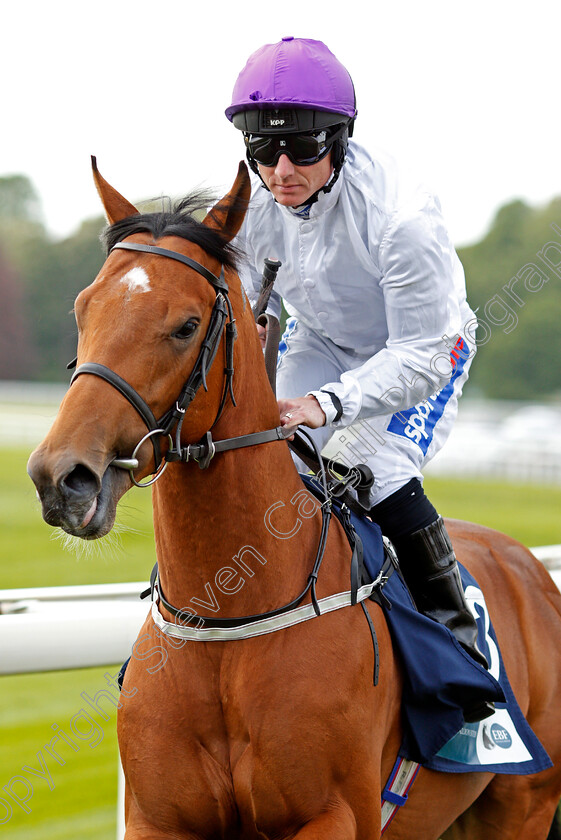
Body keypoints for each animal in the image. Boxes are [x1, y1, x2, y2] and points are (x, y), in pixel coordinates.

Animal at [27, 161, 561, 836]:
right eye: (83, 308)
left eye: (186, 326)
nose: (63, 477)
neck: (229, 611)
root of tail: (531, 570)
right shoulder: (158, 817)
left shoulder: (333, 813)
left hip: (524, 802)